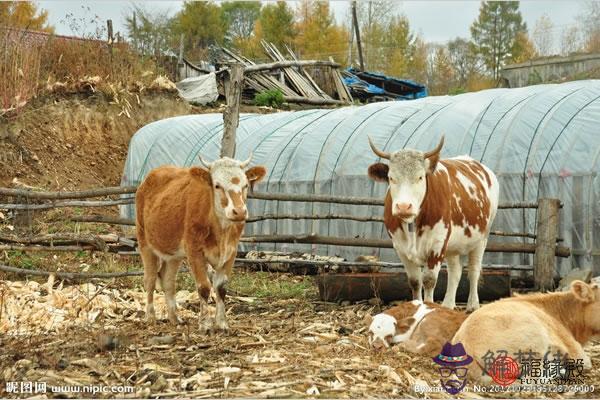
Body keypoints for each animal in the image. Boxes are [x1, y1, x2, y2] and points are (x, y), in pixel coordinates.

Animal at [136, 155, 268, 332]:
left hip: (173, 254)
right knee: (150, 280)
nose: (239, 212)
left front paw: (222, 323)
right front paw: (205, 324)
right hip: (145, 242)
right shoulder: (194, 251)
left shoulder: (231, 252)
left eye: (245, 185)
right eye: (217, 185)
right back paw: (150, 317)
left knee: (167, 280)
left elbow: (221, 287)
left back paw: (174, 318)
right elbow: (204, 287)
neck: (220, 230)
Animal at [368, 138, 500, 312]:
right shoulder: (400, 248)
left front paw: (428, 308)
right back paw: (448, 305)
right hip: (452, 246)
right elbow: (415, 282)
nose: (403, 206)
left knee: (473, 270)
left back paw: (472, 305)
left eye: (420, 177)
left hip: (482, 238)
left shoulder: (437, 246)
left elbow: (429, 280)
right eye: (391, 178)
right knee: (455, 272)